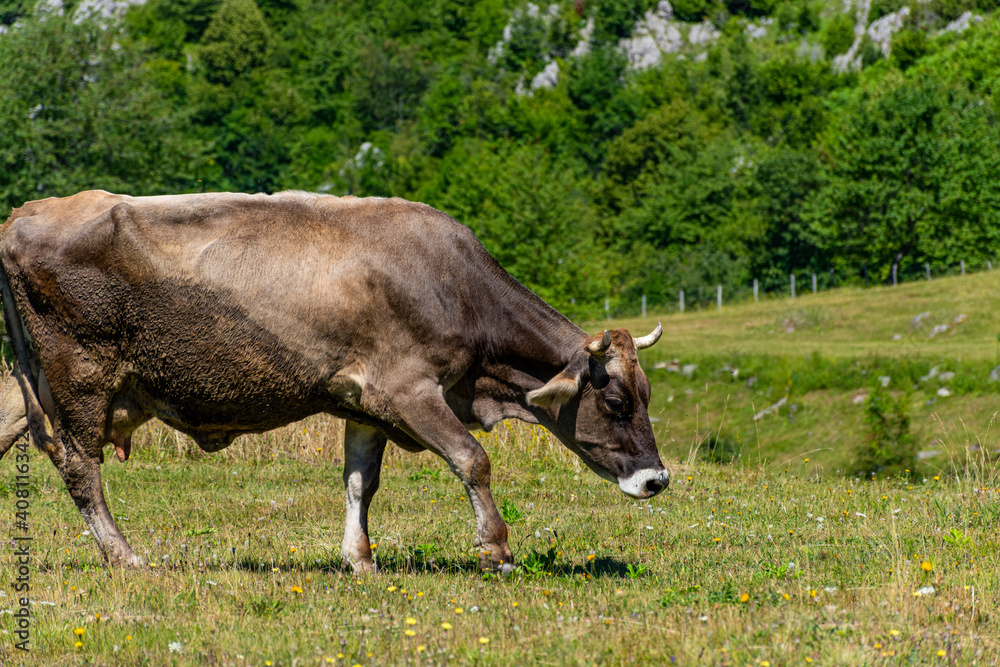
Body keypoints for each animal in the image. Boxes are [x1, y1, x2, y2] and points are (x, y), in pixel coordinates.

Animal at [0, 190, 668, 573]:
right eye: (614, 400)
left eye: (646, 396)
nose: (657, 480)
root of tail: (25, 213)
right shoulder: (408, 390)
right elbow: (472, 459)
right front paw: (497, 550)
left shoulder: (364, 405)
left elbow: (359, 483)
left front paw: (360, 560)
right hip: (81, 375)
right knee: (79, 465)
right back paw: (124, 556)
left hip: (36, 378)